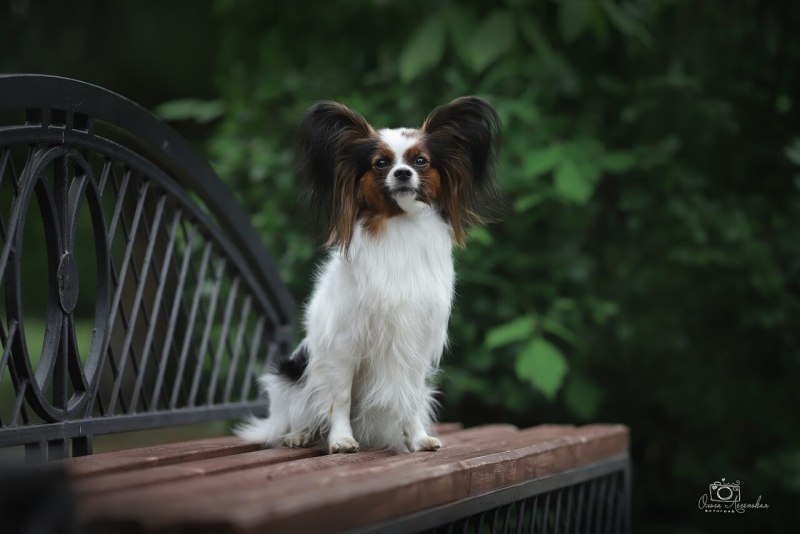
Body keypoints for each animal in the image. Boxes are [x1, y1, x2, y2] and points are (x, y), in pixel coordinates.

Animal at [236, 95, 500, 452]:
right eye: (381, 163)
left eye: (420, 161)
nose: (402, 173)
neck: (400, 226)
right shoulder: (344, 344)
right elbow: (340, 398)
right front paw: (341, 440)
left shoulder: (414, 344)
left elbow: (410, 398)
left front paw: (417, 438)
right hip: (292, 374)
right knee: (301, 413)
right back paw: (300, 434)